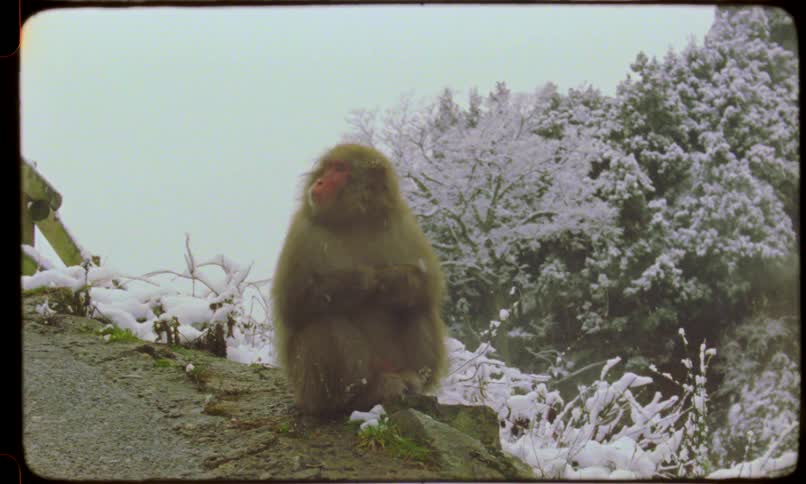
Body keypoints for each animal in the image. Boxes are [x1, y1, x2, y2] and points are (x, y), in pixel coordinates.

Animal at [271, 143, 448, 415]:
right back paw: (360, 394)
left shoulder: (403, 224)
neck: (355, 220)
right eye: (327, 167)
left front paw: (392, 280)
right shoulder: (302, 230)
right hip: (308, 388)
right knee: (323, 322)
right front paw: (365, 280)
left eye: (339, 168)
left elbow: (430, 287)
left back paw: (410, 379)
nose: (320, 181)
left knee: (418, 306)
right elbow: (292, 303)